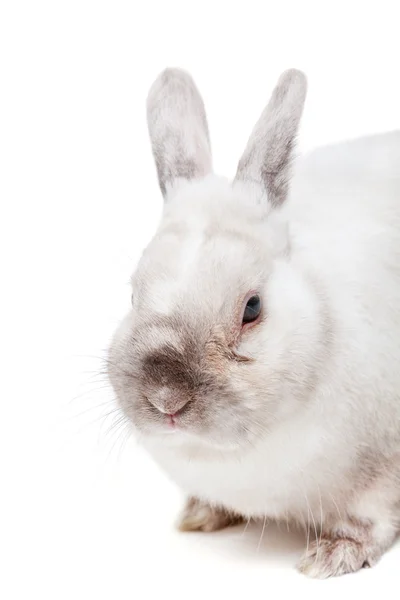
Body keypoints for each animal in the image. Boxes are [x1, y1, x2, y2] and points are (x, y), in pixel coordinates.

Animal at [108, 68, 400, 580]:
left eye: (252, 308)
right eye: (132, 294)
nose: (166, 399)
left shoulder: (382, 476)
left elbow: (371, 521)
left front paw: (331, 556)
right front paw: (200, 514)